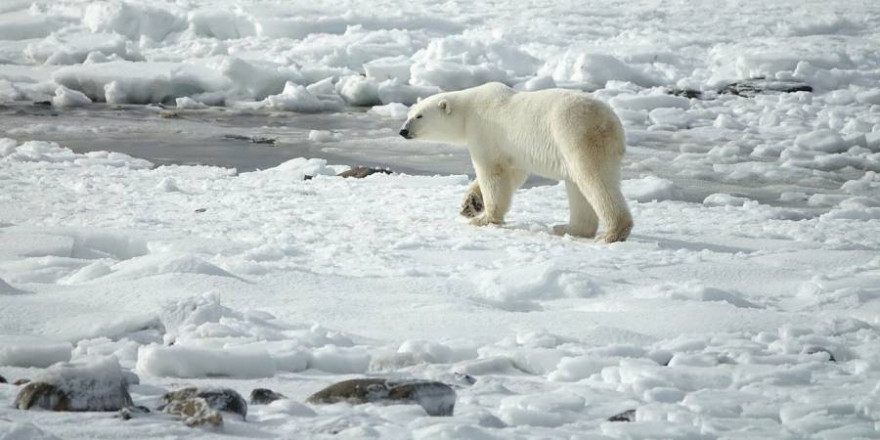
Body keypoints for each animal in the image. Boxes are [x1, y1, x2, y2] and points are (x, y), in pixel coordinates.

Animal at [398, 82, 632, 244]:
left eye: (419, 116)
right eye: (409, 113)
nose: (403, 131)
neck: (468, 110)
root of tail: (611, 123)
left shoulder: (485, 132)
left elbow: (492, 173)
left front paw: (484, 219)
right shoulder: (513, 150)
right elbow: (513, 174)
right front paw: (470, 205)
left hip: (576, 135)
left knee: (594, 180)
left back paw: (612, 233)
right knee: (577, 186)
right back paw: (567, 227)